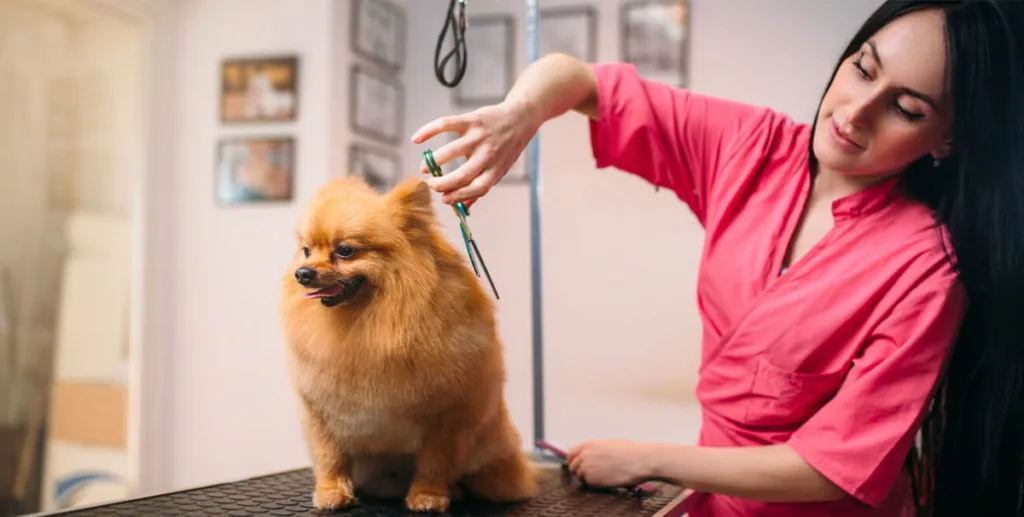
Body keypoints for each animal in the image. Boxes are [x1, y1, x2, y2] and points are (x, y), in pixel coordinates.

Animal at [276, 174, 540, 511]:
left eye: (345, 250)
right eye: (307, 250)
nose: (303, 273)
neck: (372, 322)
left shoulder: (448, 415)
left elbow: (435, 462)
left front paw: (428, 495)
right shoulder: (321, 410)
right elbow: (330, 456)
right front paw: (332, 492)